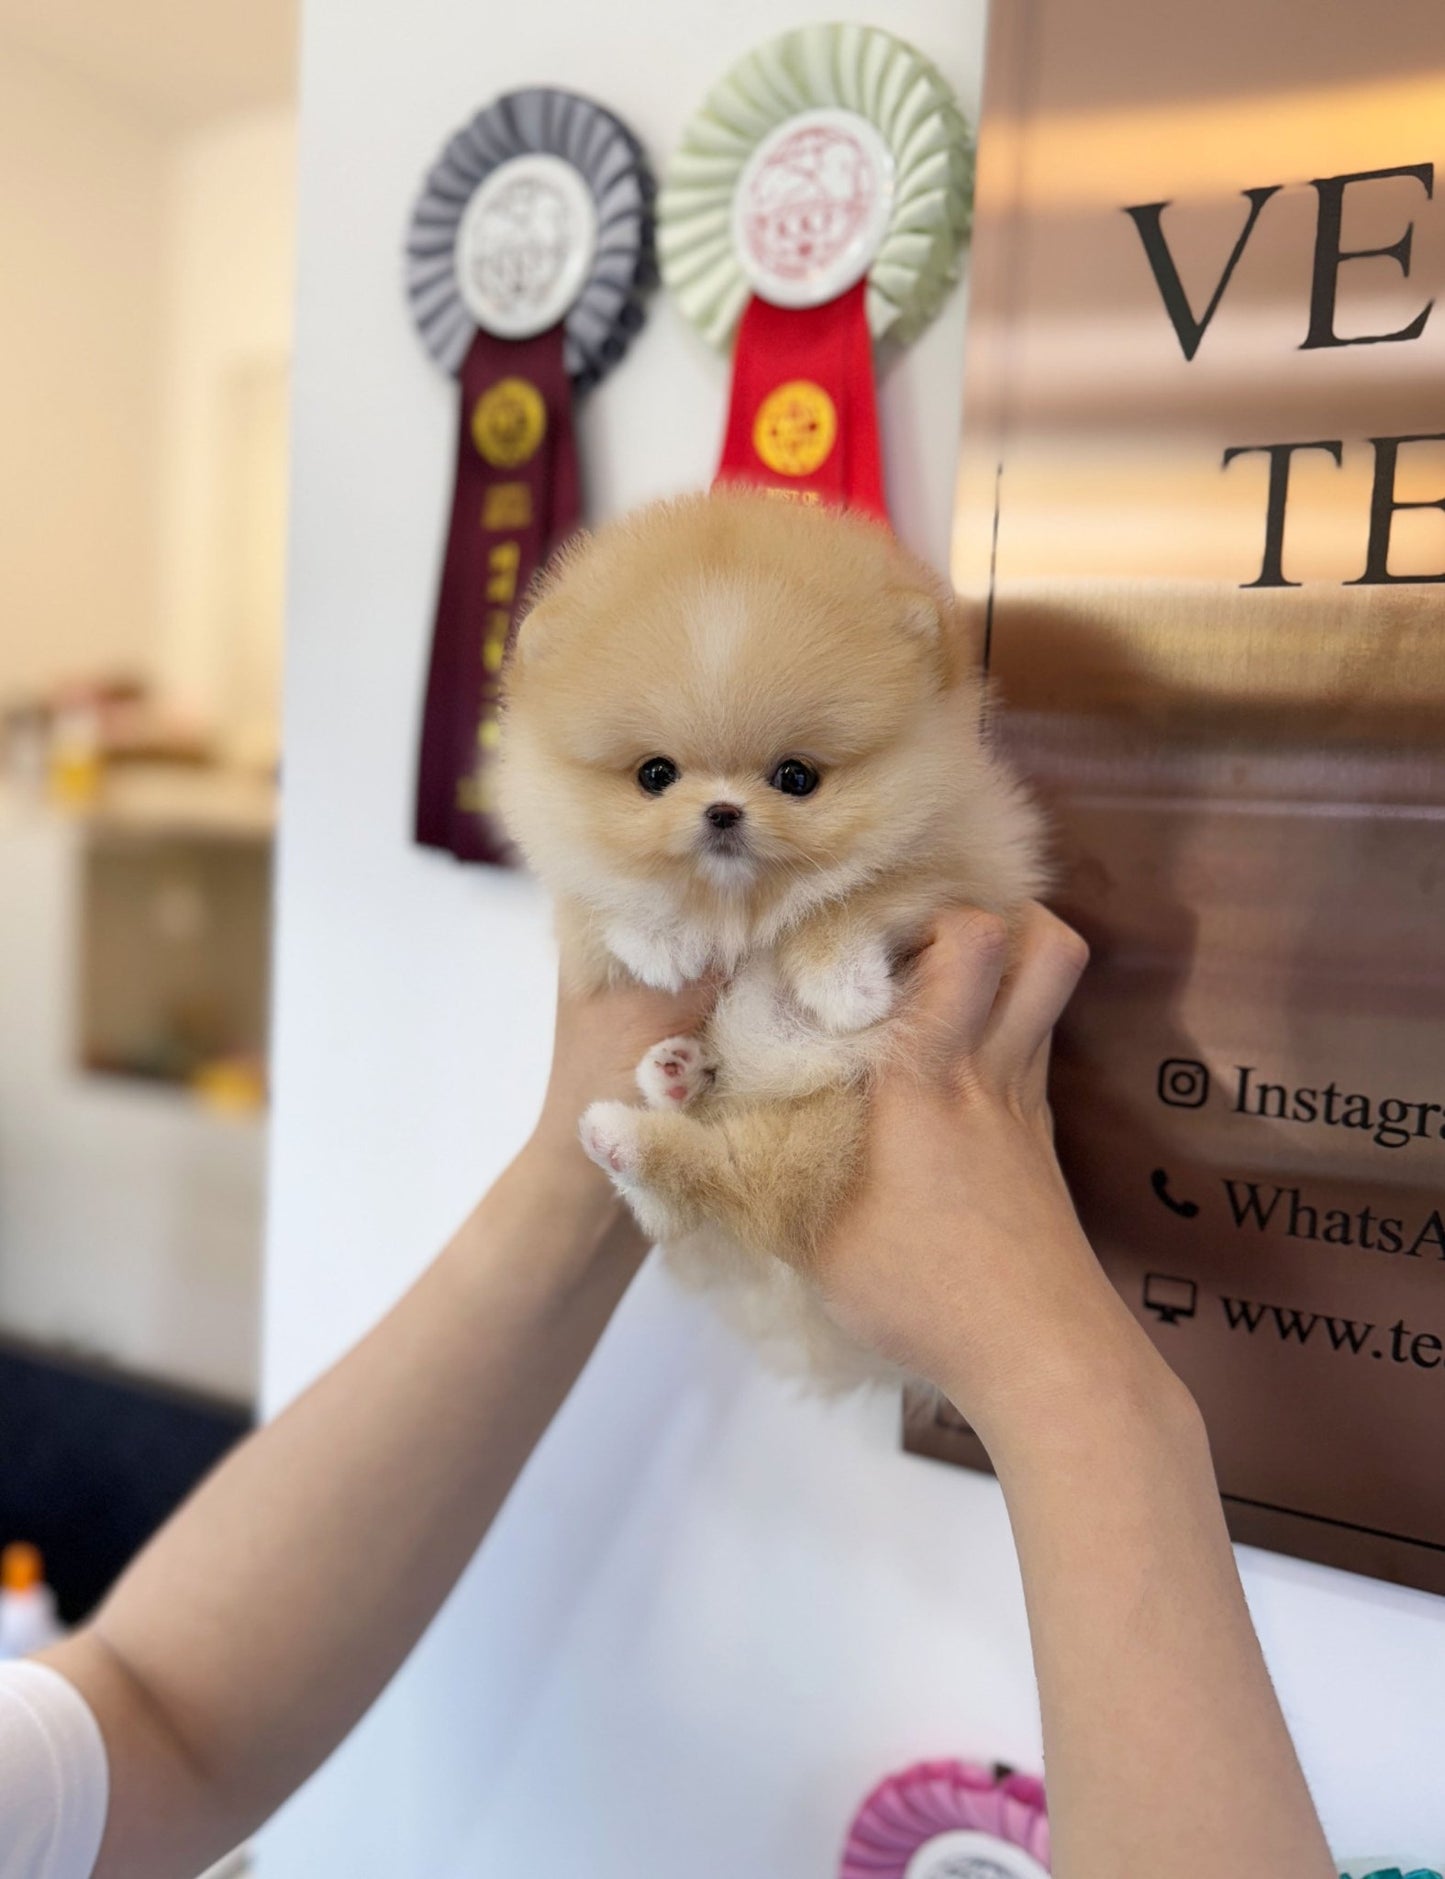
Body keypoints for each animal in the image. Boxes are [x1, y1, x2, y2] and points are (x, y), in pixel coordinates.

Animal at [496, 492, 1037, 1390]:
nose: (721, 811)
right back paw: (662, 1086)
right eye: (654, 775)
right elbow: (603, 900)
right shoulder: (572, 882)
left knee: (739, 1186)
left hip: (824, 1122)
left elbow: (861, 892)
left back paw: (644, 1115)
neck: (740, 906)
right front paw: (661, 937)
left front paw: (841, 981)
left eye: (796, 777)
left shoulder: (967, 862)